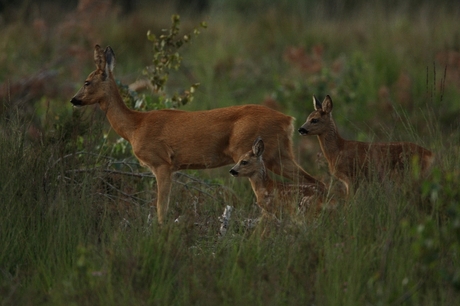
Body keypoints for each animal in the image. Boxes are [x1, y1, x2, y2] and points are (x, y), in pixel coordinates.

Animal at [70, 44, 326, 224]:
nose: (74, 99)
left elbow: (161, 208)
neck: (135, 126)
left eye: (87, 81)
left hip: (255, 152)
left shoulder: (162, 163)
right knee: (315, 182)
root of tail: (288, 120)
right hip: (280, 153)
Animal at [298, 94, 434, 195]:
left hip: (410, 173)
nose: (300, 129)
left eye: (315, 120)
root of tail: (429, 154)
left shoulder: (352, 176)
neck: (338, 150)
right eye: (307, 118)